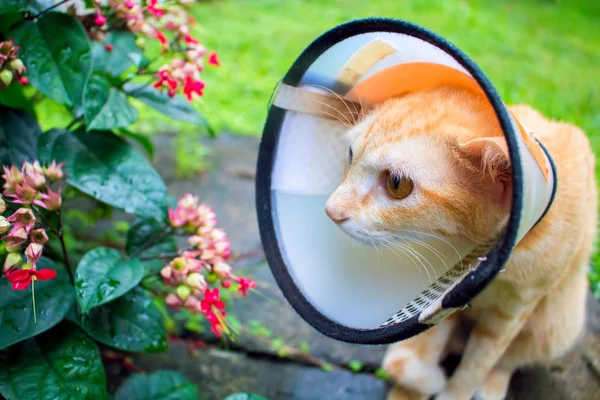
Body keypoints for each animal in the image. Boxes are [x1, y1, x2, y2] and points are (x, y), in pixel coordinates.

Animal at [326, 85, 596, 400]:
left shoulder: (515, 309)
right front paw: (420, 381)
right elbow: (417, 351)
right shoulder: (446, 296)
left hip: (557, 326)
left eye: (397, 183)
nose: (331, 210)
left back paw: (492, 386)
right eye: (350, 154)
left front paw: (455, 391)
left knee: (511, 359)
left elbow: (480, 361)